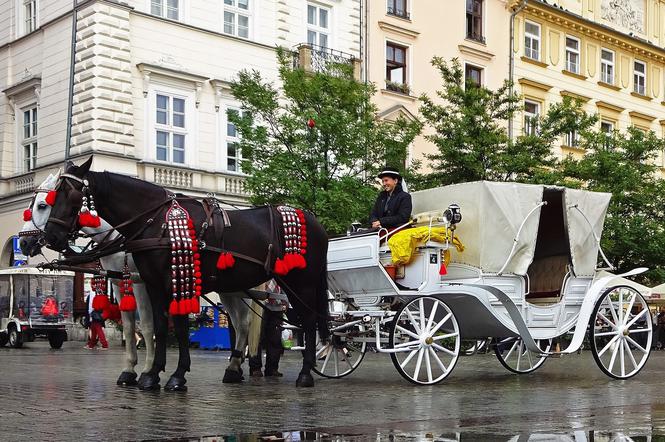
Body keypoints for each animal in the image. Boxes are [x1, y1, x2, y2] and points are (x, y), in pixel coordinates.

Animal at [42, 158, 328, 386]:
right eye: (52, 198)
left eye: (72, 196)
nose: (51, 236)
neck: (157, 222)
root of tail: (314, 221)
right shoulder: (153, 284)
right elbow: (159, 326)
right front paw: (152, 374)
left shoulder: (173, 282)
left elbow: (178, 327)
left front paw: (176, 375)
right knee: (245, 323)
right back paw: (234, 370)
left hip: (300, 284)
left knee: (308, 322)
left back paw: (305, 374)